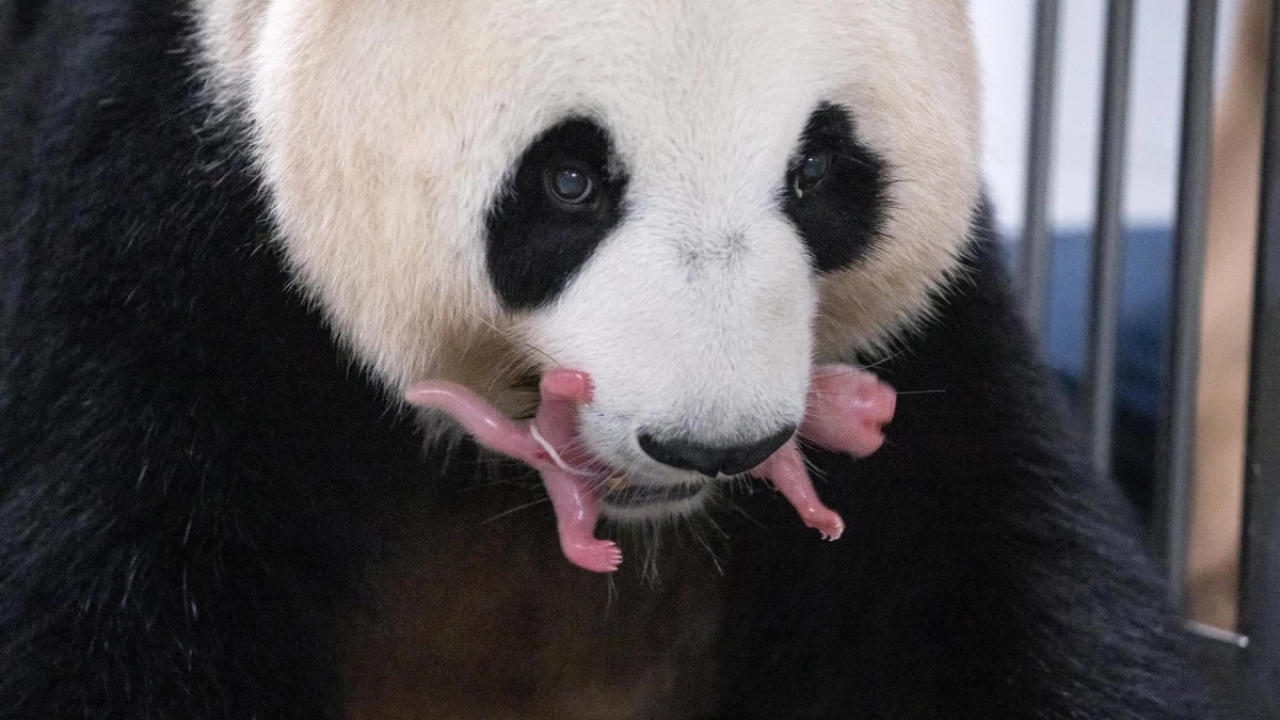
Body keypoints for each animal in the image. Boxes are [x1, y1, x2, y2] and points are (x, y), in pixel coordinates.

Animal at [0, 0, 1221, 718]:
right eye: (571, 180)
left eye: (817, 172)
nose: (716, 443)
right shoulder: (161, 252)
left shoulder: (928, 354)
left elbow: (999, 577)